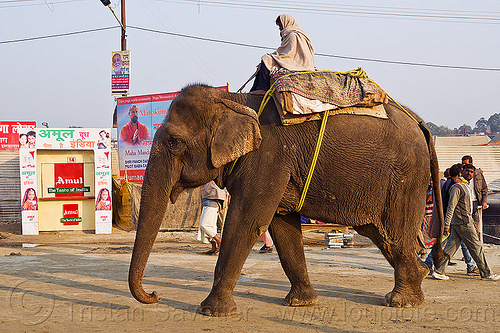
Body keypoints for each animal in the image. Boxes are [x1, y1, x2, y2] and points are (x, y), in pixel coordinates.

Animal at [129, 82, 446, 314]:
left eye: (174, 142)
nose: (155, 295)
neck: (232, 100)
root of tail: (420, 123)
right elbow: (281, 225)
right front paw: (301, 302)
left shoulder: (269, 157)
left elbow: (247, 221)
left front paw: (211, 311)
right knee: (382, 234)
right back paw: (417, 281)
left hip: (404, 177)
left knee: (394, 232)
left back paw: (401, 301)